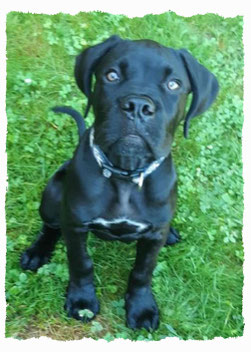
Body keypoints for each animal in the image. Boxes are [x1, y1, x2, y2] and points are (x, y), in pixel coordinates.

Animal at [20, 35, 219, 330]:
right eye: (111, 75)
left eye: (174, 84)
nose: (137, 105)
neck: (125, 175)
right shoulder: (76, 226)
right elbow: (81, 263)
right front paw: (82, 301)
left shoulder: (152, 237)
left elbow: (142, 272)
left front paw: (142, 308)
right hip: (53, 194)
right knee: (50, 226)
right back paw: (38, 251)